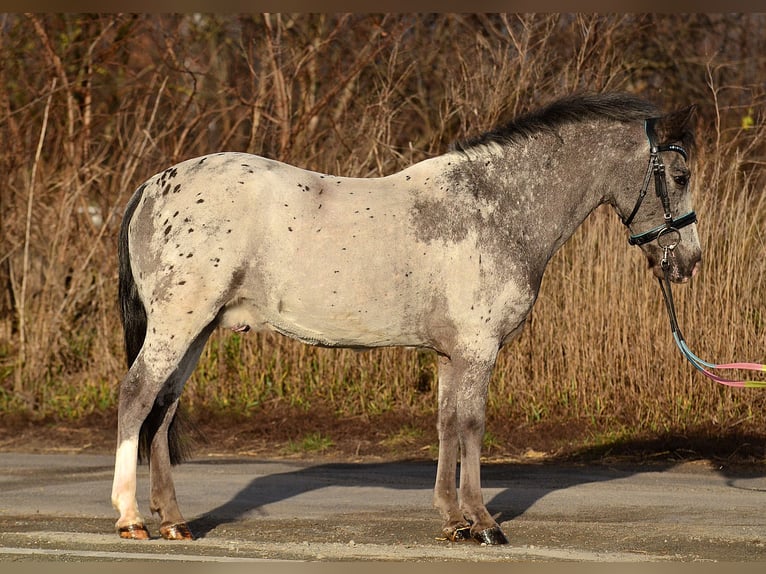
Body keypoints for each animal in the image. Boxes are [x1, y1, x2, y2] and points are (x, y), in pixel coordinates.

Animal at [111, 93, 704, 544]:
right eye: (678, 175)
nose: (690, 261)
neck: (494, 208)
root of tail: (152, 186)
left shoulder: (449, 354)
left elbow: (445, 425)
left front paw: (453, 523)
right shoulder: (477, 349)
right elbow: (472, 425)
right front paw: (484, 524)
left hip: (197, 331)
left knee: (163, 409)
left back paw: (174, 522)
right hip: (177, 325)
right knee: (137, 396)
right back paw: (131, 519)